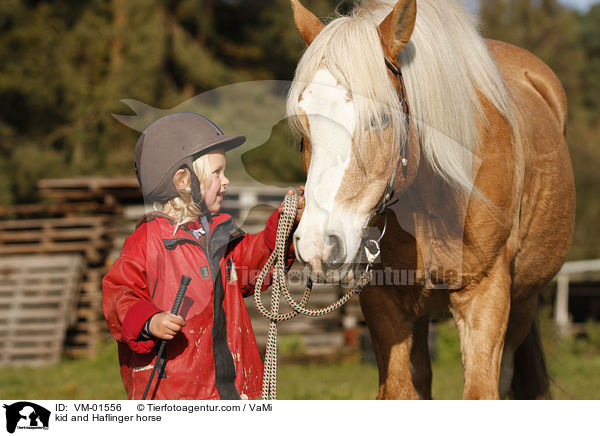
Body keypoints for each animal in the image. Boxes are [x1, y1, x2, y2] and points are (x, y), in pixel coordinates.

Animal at [288, 0, 576, 400]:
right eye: (302, 129)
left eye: (382, 119)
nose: (318, 246)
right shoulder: (384, 300)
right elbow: (399, 390)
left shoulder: (485, 297)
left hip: (522, 305)